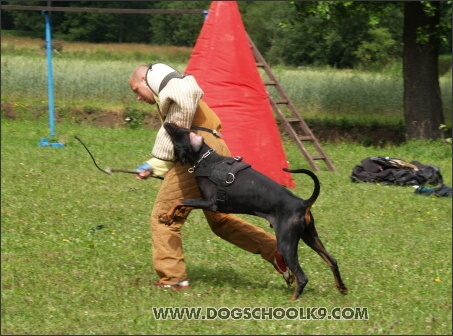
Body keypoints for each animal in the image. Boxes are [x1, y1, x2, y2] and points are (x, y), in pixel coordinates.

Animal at [159, 122, 346, 300]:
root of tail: (302, 203)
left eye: (179, 131)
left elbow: (179, 200)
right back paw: (342, 288)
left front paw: (166, 216)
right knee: (333, 261)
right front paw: (170, 216)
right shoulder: (204, 202)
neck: (208, 161)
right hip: (309, 236)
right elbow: (183, 204)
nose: (167, 123)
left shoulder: (210, 203)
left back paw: (292, 300)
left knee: (303, 277)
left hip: (286, 242)